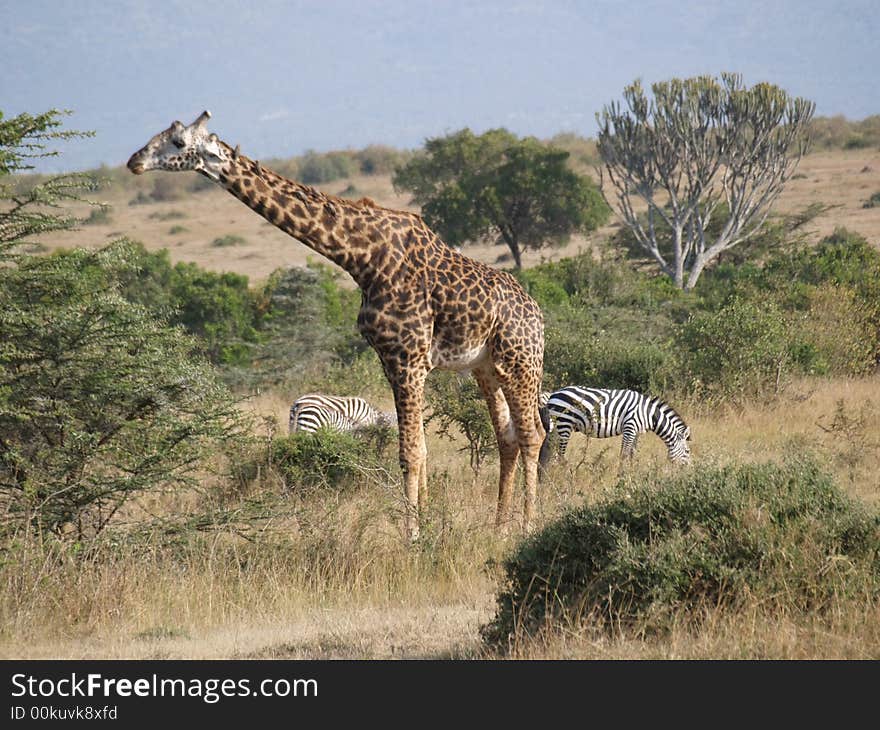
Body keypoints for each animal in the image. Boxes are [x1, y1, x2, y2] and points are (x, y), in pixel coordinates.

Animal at [128, 111, 548, 536]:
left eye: (178, 142)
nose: (134, 161)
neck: (362, 258)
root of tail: (537, 313)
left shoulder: (408, 360)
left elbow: (410, 452)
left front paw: (412, 535)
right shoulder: (395, 362)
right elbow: (422, 449)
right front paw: (428, 524)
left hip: (520, 362)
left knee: (533, 433)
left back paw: (528, 523)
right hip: (486, 368)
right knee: (507, 436)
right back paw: (499, 526)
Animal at [540, 384, 692, 464]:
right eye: (687, 451)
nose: (687, 472)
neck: (649, 414)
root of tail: (554, 393)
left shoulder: (636, 432)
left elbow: (632, 454)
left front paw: (631, 473)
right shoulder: (630, 427)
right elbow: (623, 455)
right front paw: (620, 477)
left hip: (557, 426)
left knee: (548, 449)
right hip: (564, 423)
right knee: (560, 454)